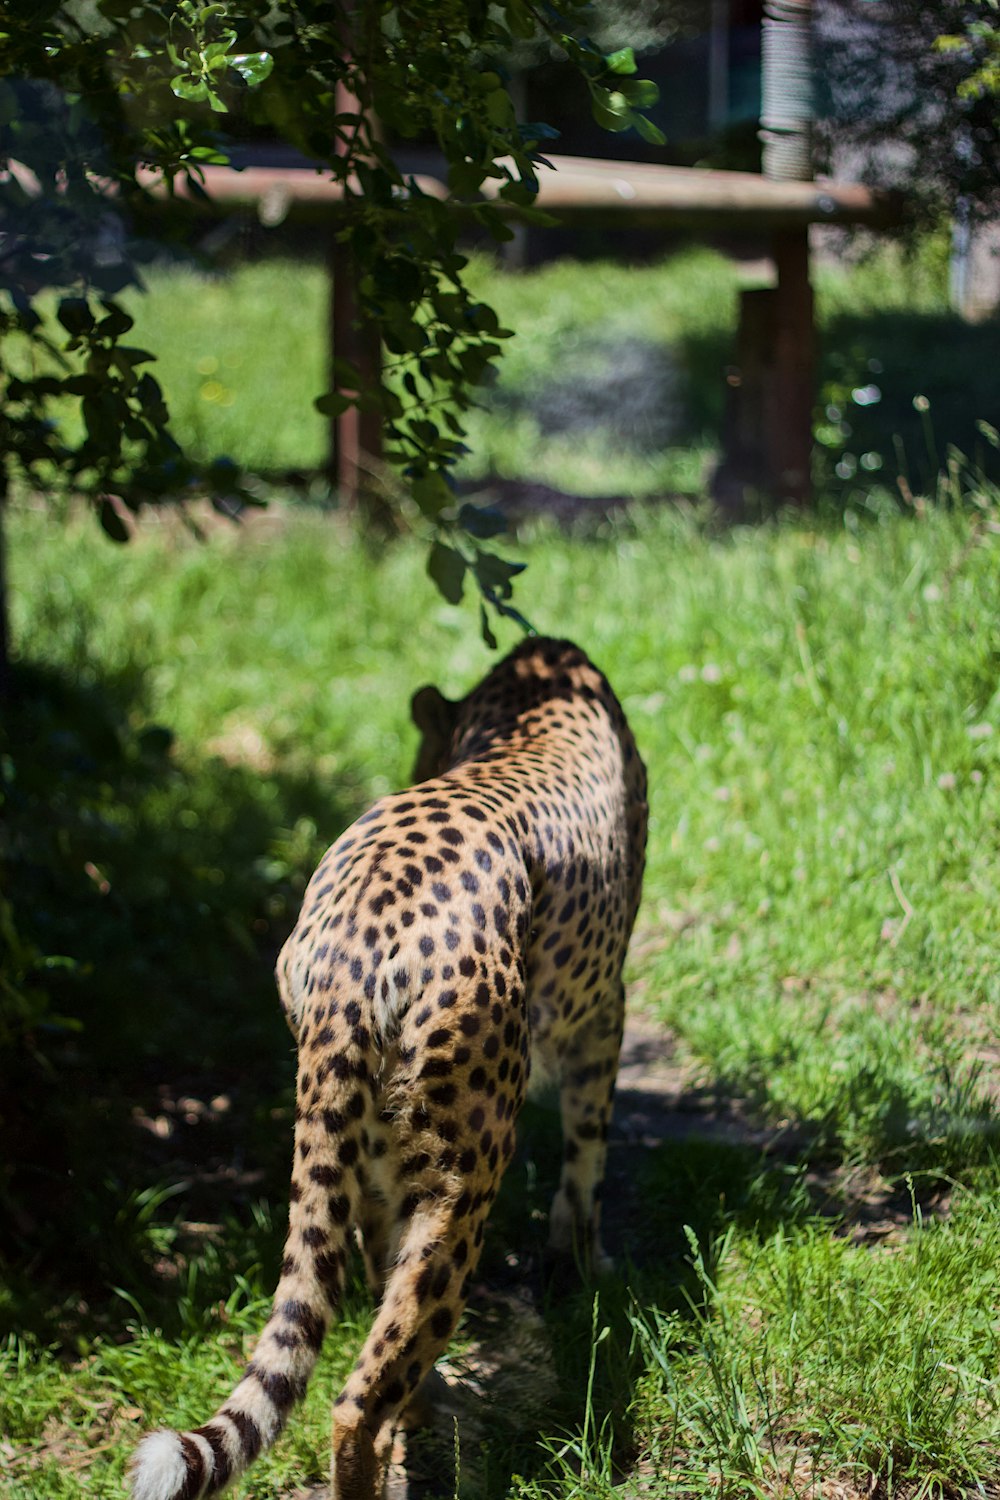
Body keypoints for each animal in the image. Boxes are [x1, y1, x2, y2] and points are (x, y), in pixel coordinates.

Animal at [131, 639, 650, 1500]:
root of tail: (356, 937)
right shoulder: (602, 1012)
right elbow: (588, 1151)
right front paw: (584, 1260)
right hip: (464, 1172)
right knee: (359, 1398)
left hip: (373, 1149)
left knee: (382, 1302)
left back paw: (426, 1400)